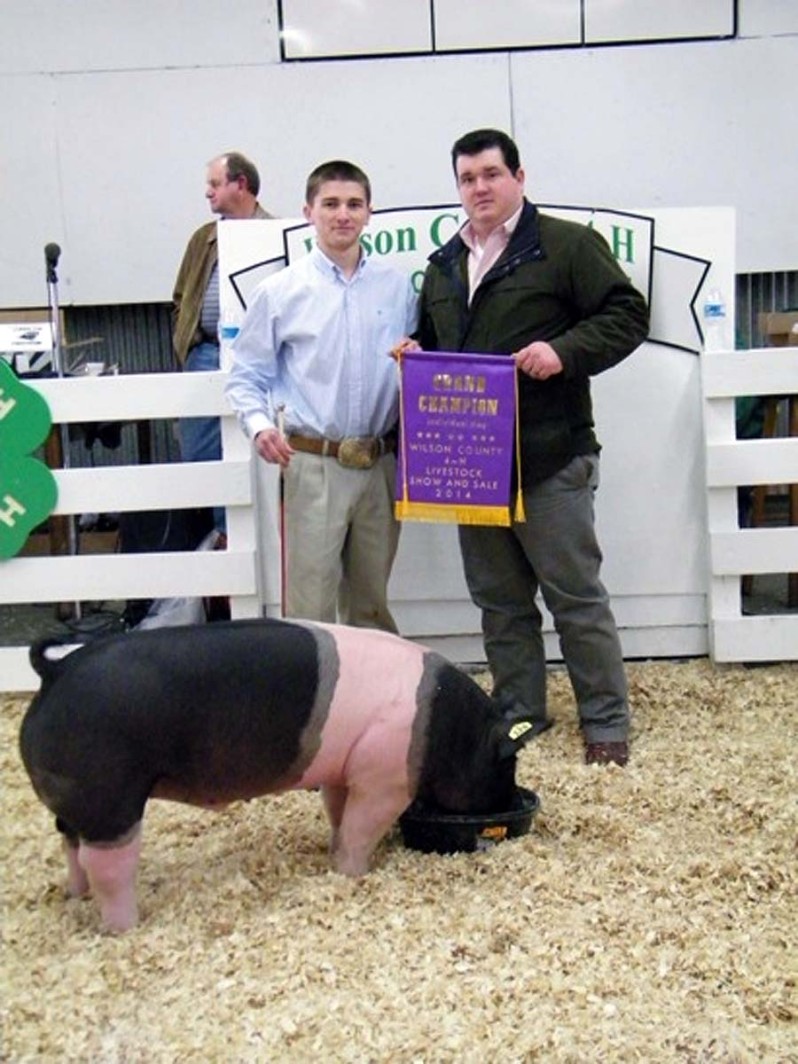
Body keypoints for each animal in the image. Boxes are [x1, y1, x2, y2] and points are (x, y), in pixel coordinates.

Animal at [18, 617, 540, 932]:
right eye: (506, 762)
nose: (512, 801)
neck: (447, 726)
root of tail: (54, 673)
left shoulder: (344, 769)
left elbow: (338, 813)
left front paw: (333, 859)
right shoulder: (383, 776)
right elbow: (361, 826)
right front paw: (353, 874)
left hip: (77, 800)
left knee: (70, 844)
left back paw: (76, 896)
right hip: (109, 796)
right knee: (107, 862)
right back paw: (124, 926)